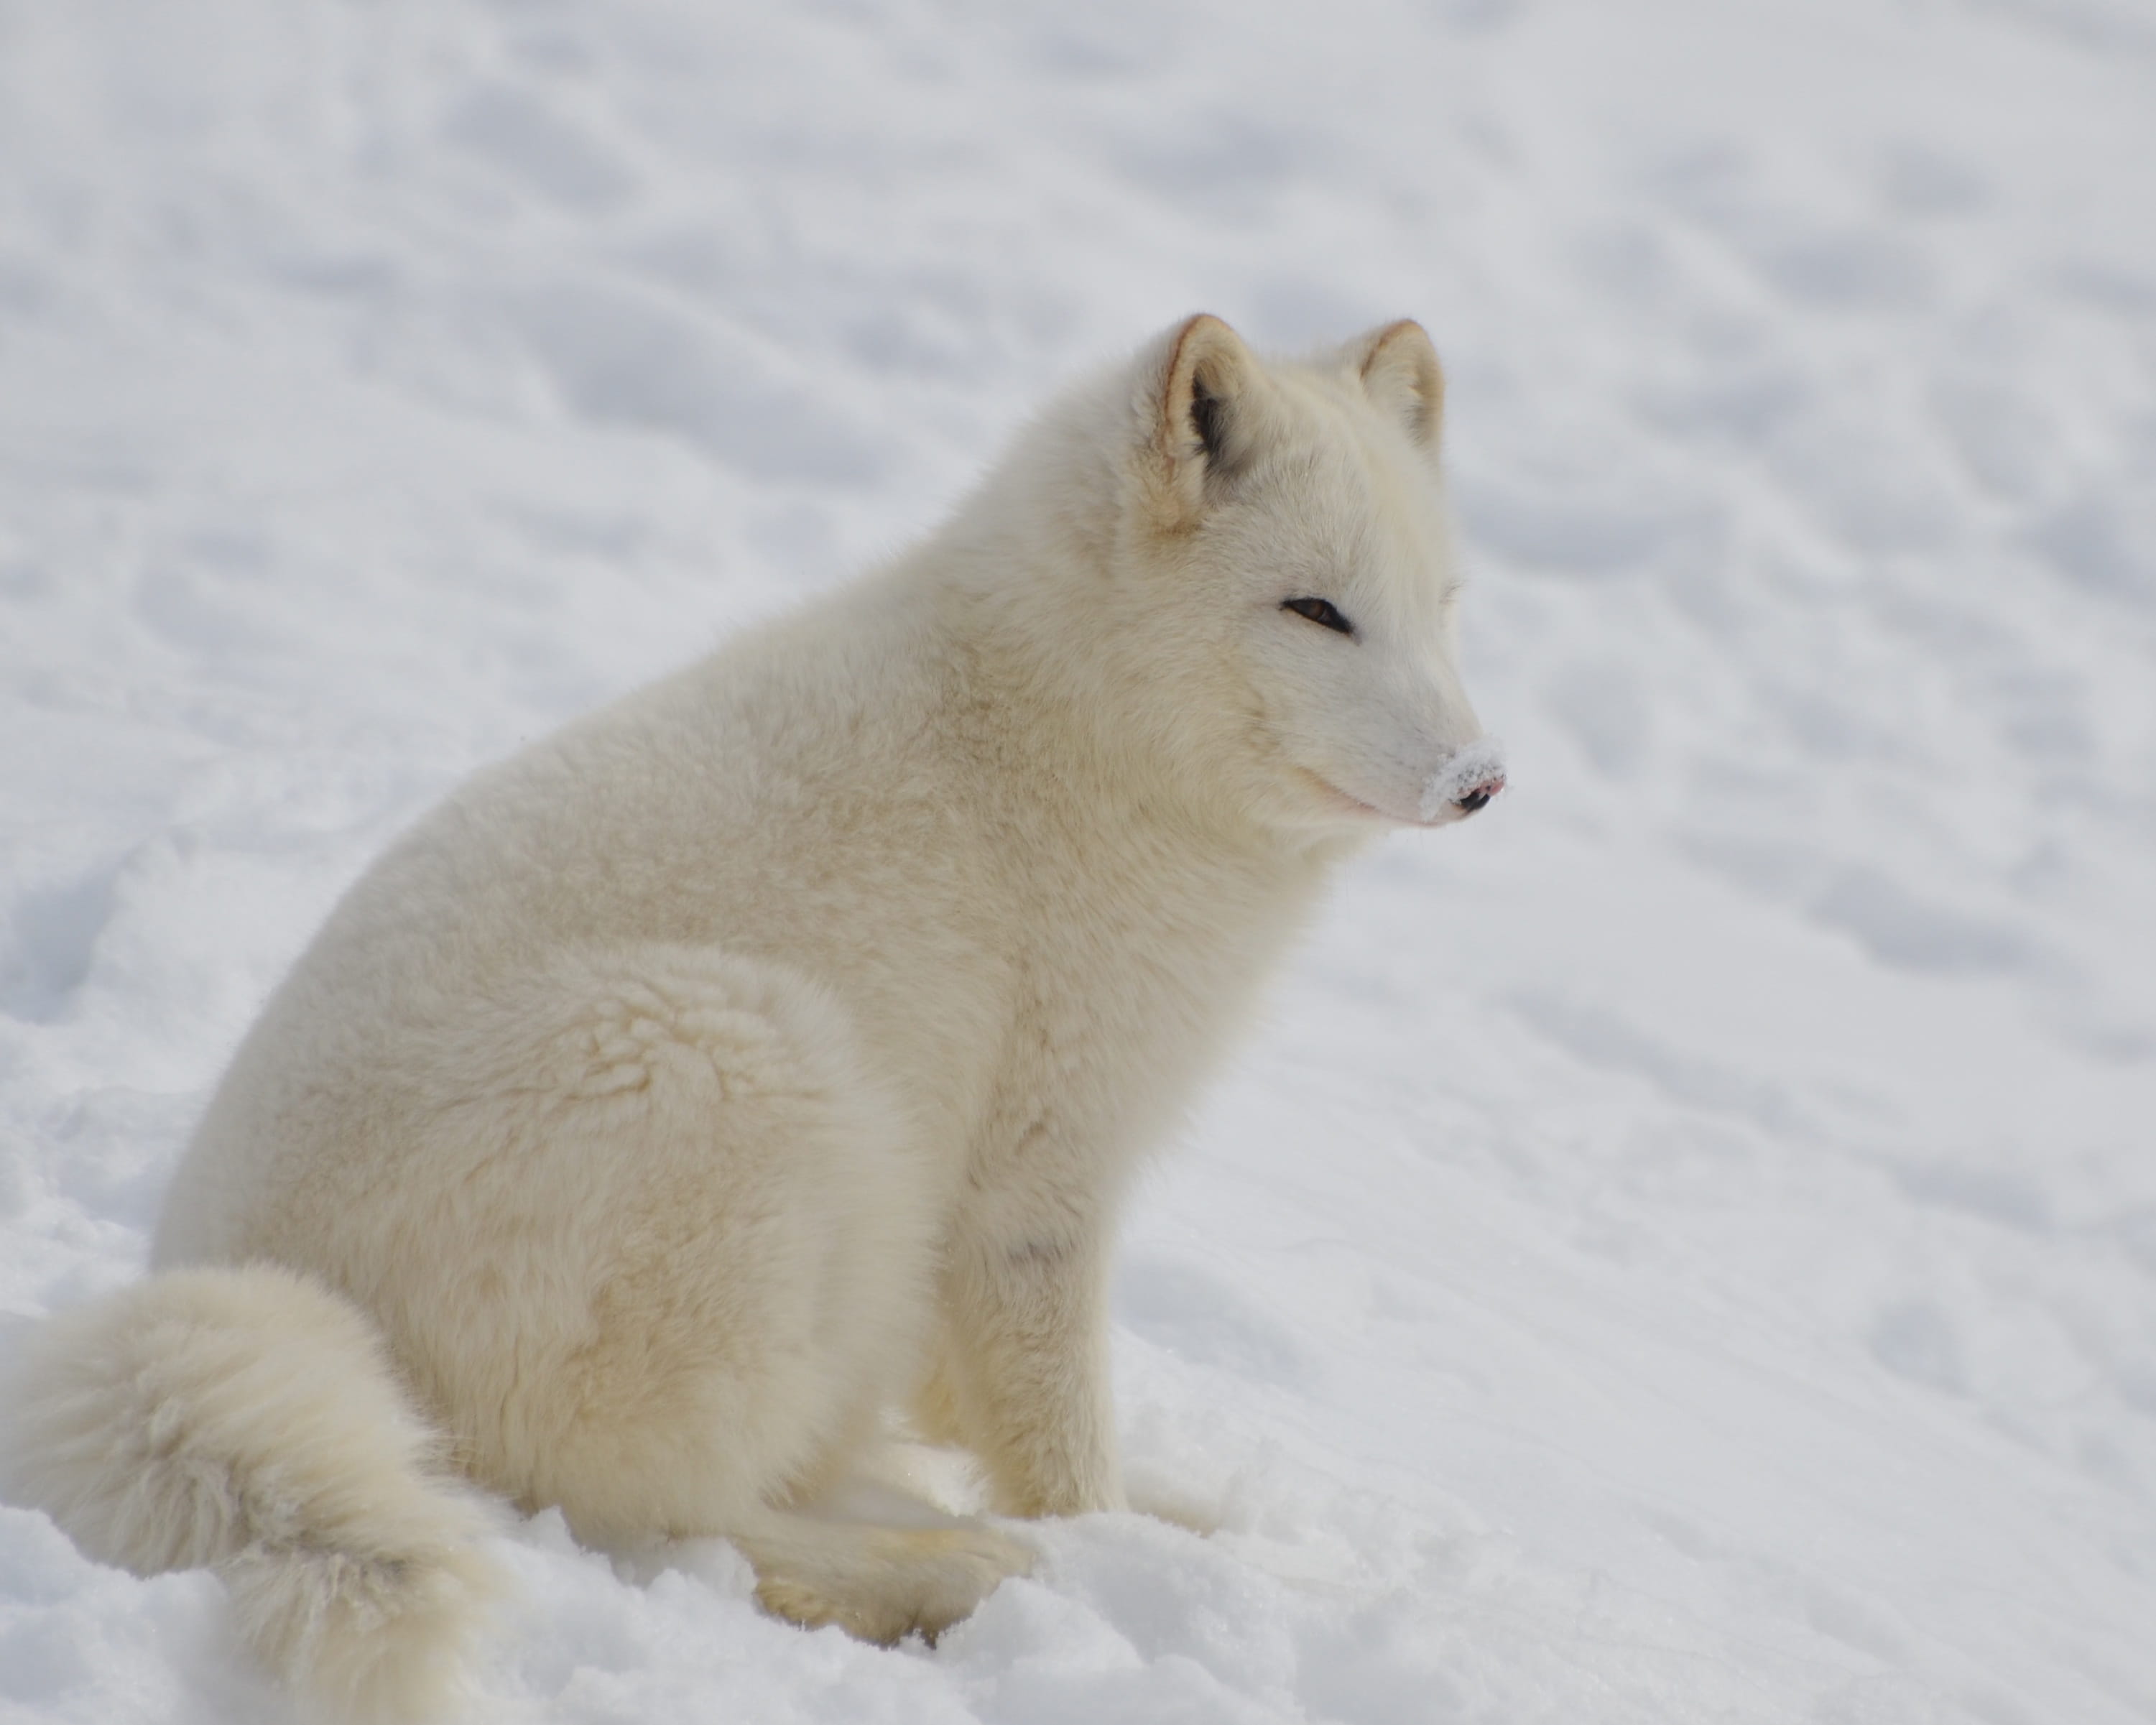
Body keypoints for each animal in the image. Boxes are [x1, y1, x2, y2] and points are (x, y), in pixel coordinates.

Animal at [3, 314, 1503, 1720]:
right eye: (1315, 611)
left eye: (1440, 606)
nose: (1481, 782)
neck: (1059, 721)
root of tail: (233, 1272)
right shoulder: (1041, 1180)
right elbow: (1060, 1448)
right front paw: (1124, 1558)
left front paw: (1189, 1529)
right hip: (762, 1073)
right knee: (668, 1528)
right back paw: (949, 1580)